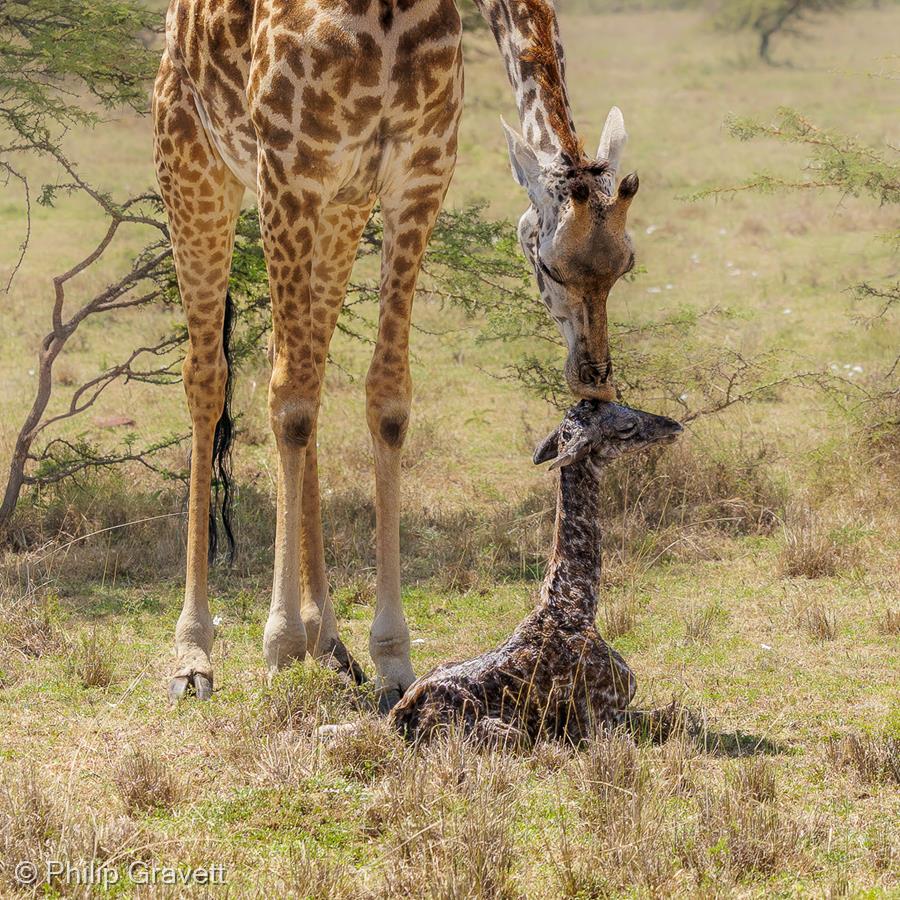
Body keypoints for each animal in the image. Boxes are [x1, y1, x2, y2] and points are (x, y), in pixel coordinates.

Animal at [151, 1, 636, 712]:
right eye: (547, 262)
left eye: (626, 263)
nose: (594, 379)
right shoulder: (291, 167)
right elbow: (287, 401)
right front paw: (279, 646)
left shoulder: (419, 170)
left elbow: (385, 399)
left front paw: (390, 658)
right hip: (192, 161)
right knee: (213, 379)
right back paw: (195, 655)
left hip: (343, 203)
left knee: (305, 362)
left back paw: (329, 641)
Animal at [388, 400, 684, 744]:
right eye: (626, 426)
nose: (673, 425)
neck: (574, 606)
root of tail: (399, 718)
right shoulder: (598, 721)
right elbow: (676, 714)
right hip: (513, 734)